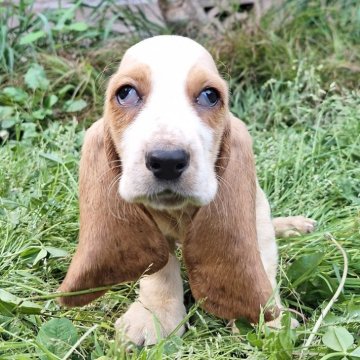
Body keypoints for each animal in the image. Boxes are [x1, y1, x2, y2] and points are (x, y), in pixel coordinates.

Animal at [58, 35, 316, 344]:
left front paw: (271, 320)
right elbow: (160, 269)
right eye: (125, 93)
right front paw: (155, 316)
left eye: (210, 96)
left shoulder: (256, 213)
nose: (167, 161)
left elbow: (263, 260)